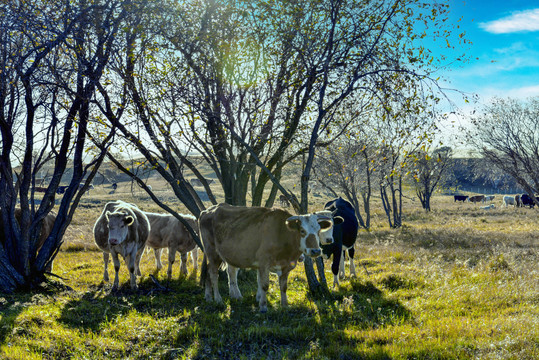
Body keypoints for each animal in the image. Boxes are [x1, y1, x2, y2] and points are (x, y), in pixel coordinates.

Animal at [200, 205, 336, 312]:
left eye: (318, 231)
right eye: (302, 231)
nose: (316, 251)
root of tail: (208, 210)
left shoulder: (286, 266)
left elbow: (283, 287)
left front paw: (285, 306)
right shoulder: (264, 263)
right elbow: (264, 285)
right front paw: (263, 306)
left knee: (208, 272)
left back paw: (208, 297)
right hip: (213, 252)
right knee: (213, 274)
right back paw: (218, 299)